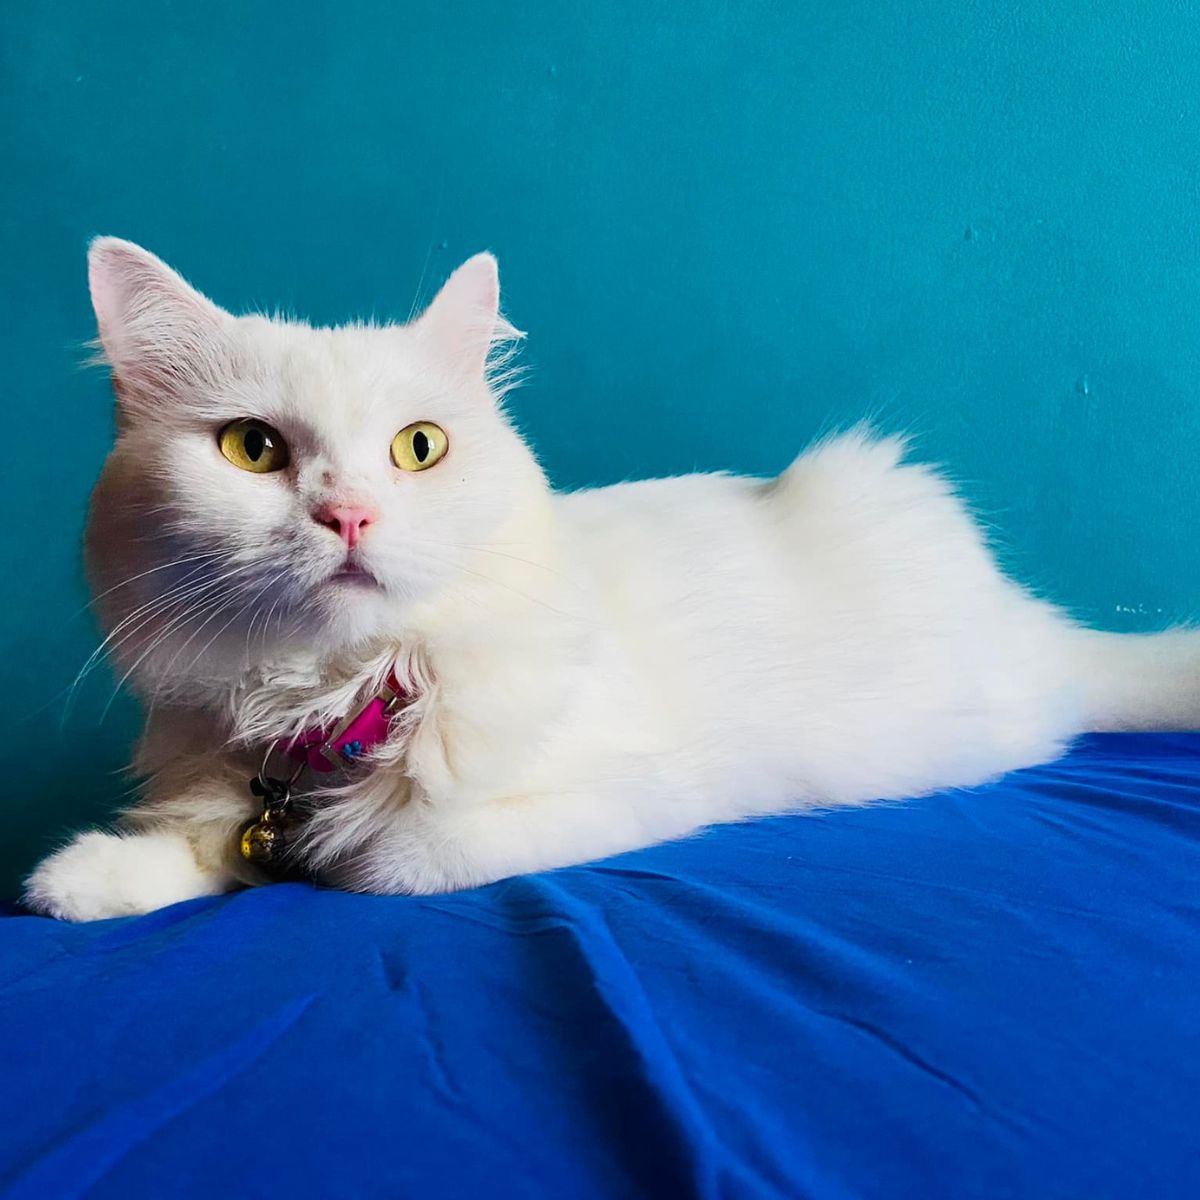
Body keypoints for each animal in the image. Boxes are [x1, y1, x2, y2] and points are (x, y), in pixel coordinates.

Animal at [23, 241, 1195, 916]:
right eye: (254, 450)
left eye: (417, 449)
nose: (349, 513)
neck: (334, 701)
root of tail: (1029, 618)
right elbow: (199, 842)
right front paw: (87, 879)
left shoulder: (636, 791)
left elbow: (382, 856)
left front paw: (329, 848)